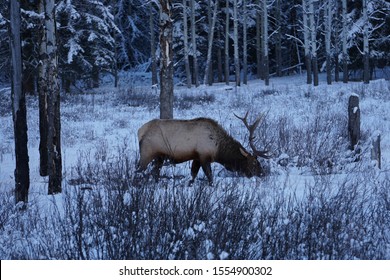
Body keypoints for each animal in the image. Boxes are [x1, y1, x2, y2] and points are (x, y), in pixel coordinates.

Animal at [138, 112, 272, 185]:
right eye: (254, 163)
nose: (263, 174)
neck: (218, 150)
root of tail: (140, 131)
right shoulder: (204, 156)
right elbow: (210, 177)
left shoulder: (196, 157)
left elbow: (193, 176)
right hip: (146, 154)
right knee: (139, 171)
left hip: (159, 157)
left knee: (155, 172)